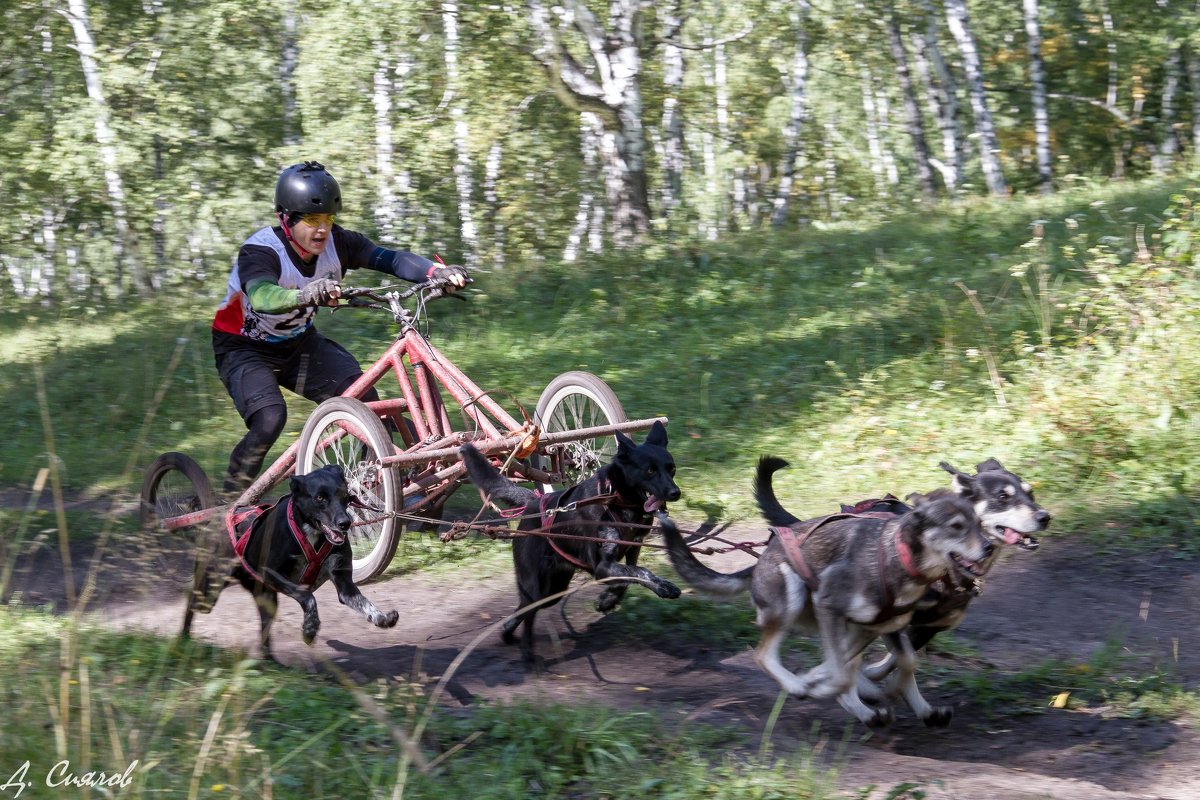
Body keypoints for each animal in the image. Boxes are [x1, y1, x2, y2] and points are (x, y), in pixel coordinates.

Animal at [458, 422, 686, 666]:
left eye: (671, 468)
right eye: (650, 470)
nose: (675, 492)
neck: (615, 498)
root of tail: (534, 501)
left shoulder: (631, 550)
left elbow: (628, 577)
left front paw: (607, 600)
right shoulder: (602, 566)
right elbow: (640, 572)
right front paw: (664, 587)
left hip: (553, 589)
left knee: (523, 609)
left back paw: (508, 633)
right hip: (534, 584)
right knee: (528, 615)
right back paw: (528, 655)